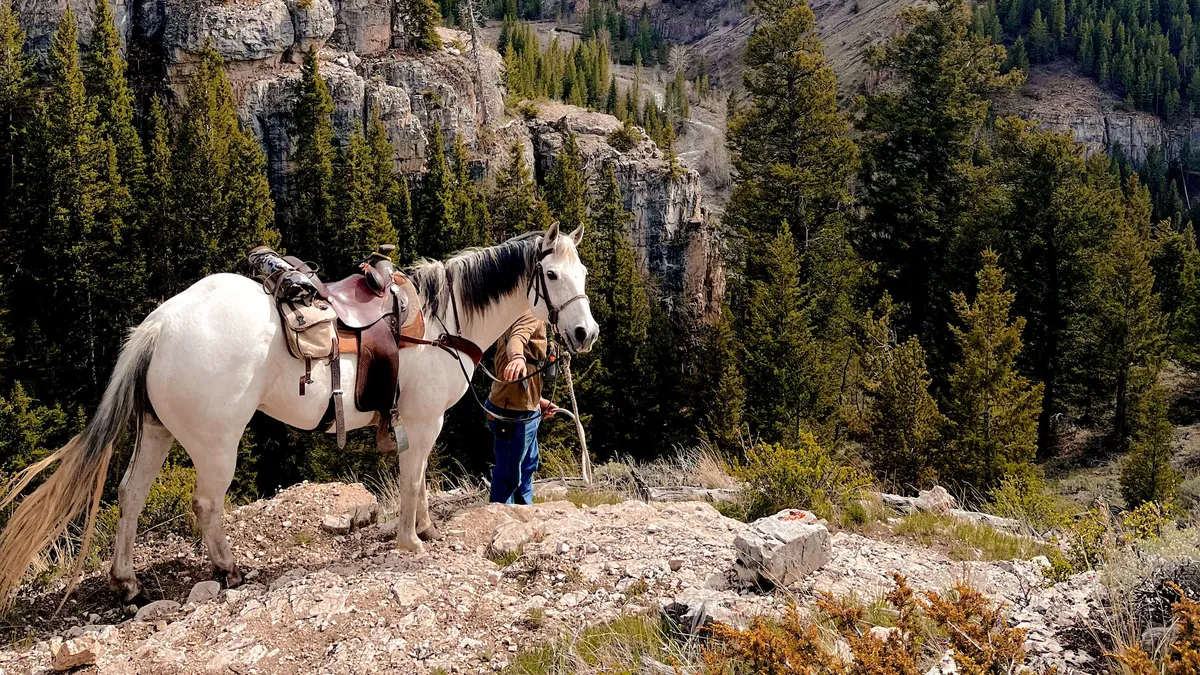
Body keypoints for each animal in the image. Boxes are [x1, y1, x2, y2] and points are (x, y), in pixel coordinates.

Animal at [0, 224, 597, 605]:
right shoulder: (424, 419)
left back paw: (127, 584)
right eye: (551, 275)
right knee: (206, 503)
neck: (439, 320)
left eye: (585, 272)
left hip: (157, 430)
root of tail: (161, 323)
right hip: (215, 442)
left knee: (130, 494)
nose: (585, 333)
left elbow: (421, 477)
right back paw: (227, 569)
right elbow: (412, 480)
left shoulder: (418, 422)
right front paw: (411, 540)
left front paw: (426, 528)